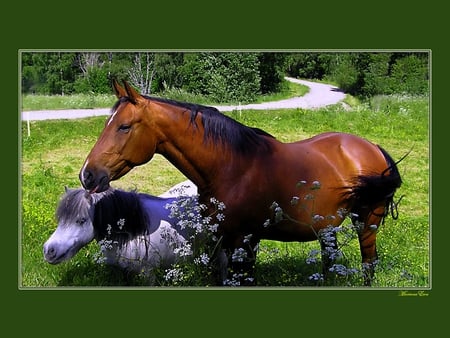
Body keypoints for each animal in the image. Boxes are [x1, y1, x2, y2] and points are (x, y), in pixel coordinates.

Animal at [79, 81, 402, 286]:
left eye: (124, 127)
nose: (87, 175)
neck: (234, 166)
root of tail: (372, 147)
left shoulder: (245, 240)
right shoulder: (220, 238)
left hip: (367, 221)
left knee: (369, 262)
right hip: (328, 227)